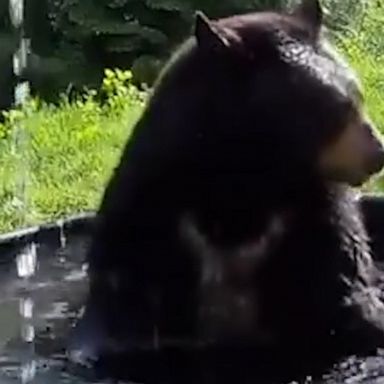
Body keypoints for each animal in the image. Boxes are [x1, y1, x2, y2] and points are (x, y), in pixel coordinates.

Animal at [70, 0, 384, 380]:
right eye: (334, 107)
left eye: (357, 94)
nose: (378, 153)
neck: (244, 185)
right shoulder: (145, 223)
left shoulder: (315, 213)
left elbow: (346, 287)